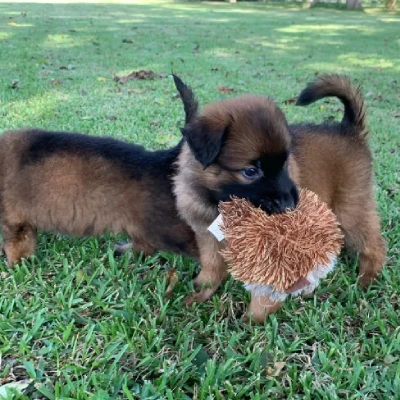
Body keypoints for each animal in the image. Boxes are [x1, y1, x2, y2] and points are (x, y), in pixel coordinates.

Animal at [0, 129, 199, 266]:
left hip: (169, 231)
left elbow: (16, 247)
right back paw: (124, 252)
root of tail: (162, 159)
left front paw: (16, 266)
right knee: (144, 246)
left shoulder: (15, 224)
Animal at [173, 75, 386, 324]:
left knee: (373, 243)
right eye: (251, 171)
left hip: (350, 207)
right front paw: (199, 292)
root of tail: (348, 128)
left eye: (285, 163)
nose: (289, 206)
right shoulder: (207, 236)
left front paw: (252, 321)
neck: (221, 204)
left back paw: (366, 279)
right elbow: (211, 267)